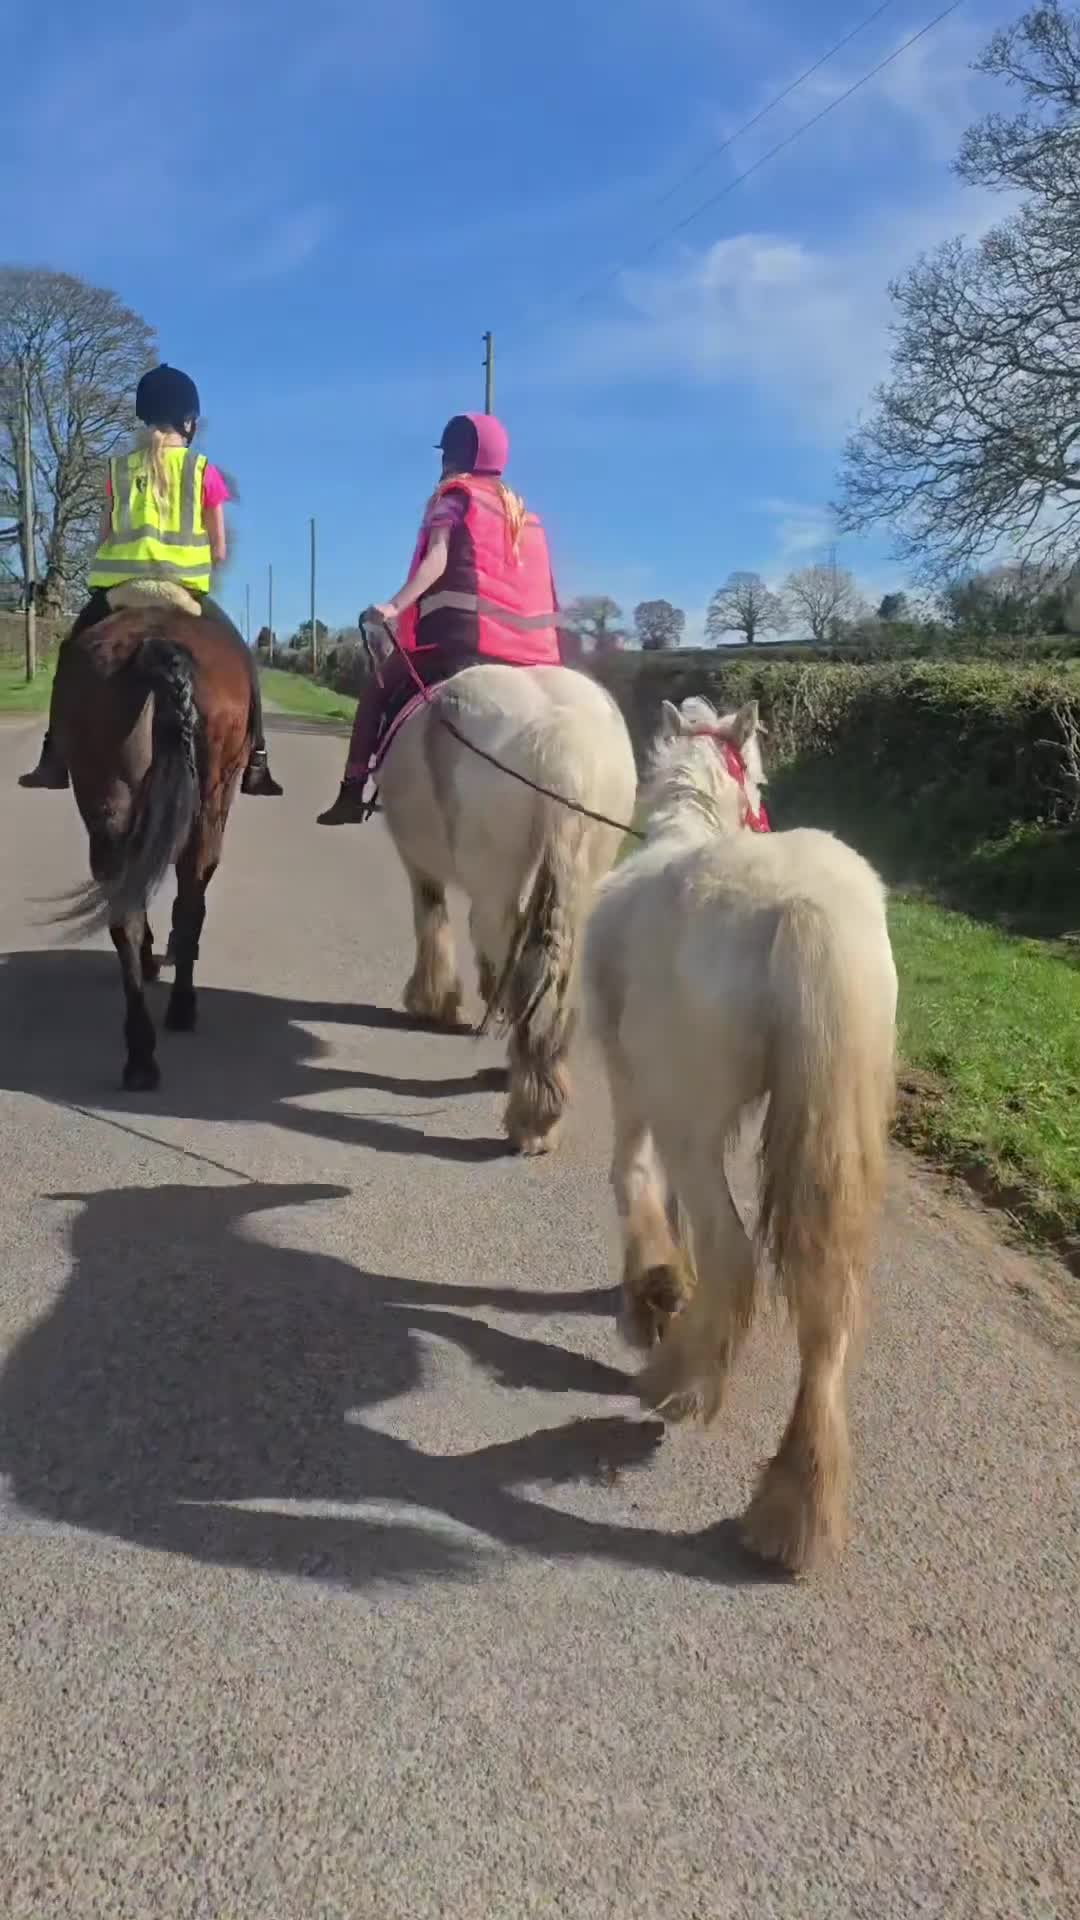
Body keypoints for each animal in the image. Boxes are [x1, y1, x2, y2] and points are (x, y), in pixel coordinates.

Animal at [49, 600, 252, 1091]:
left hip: (107, 802)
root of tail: (156, 647)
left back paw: (141, 1054)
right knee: (190, 900)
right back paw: (179, 1010)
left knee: (127, 915)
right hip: (209, 807)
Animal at [372, 656, 638, 1154]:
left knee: (506, 951)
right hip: (583, 879)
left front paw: (432, 1000)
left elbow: (430, 920)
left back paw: (528, 1113)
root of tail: (561, 738)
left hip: (494, 878)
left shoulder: (417, 863)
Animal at [583, 694, 897, 1572]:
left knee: (733, 1253)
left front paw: (653, 1291)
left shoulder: (635, 1085)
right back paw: (795, 1504)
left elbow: (634, 1181)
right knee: (828, 1304)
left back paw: (678, 1380)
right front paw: (665, 1288)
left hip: (686, 1118)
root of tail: (803, 906)